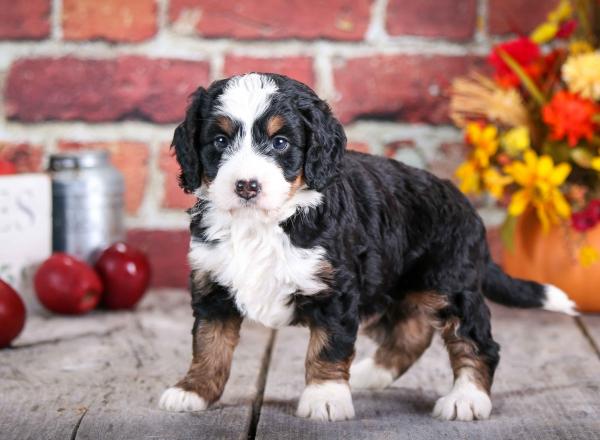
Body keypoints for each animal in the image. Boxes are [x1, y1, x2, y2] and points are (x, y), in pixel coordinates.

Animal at [158, 73, 576, 422]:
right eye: (219, 141)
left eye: (280, 142)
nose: (246, 186)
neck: (265, 224)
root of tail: (465, 206)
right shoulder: (213, 286)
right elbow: (209, 345)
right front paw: (193, 391)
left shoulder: (336, 289)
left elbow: (327, 347)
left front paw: (325, 398)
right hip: (389, 287)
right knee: (410, 333)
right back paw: (370, 374)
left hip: (449, 283)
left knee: (476, 341)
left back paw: (466, 400)